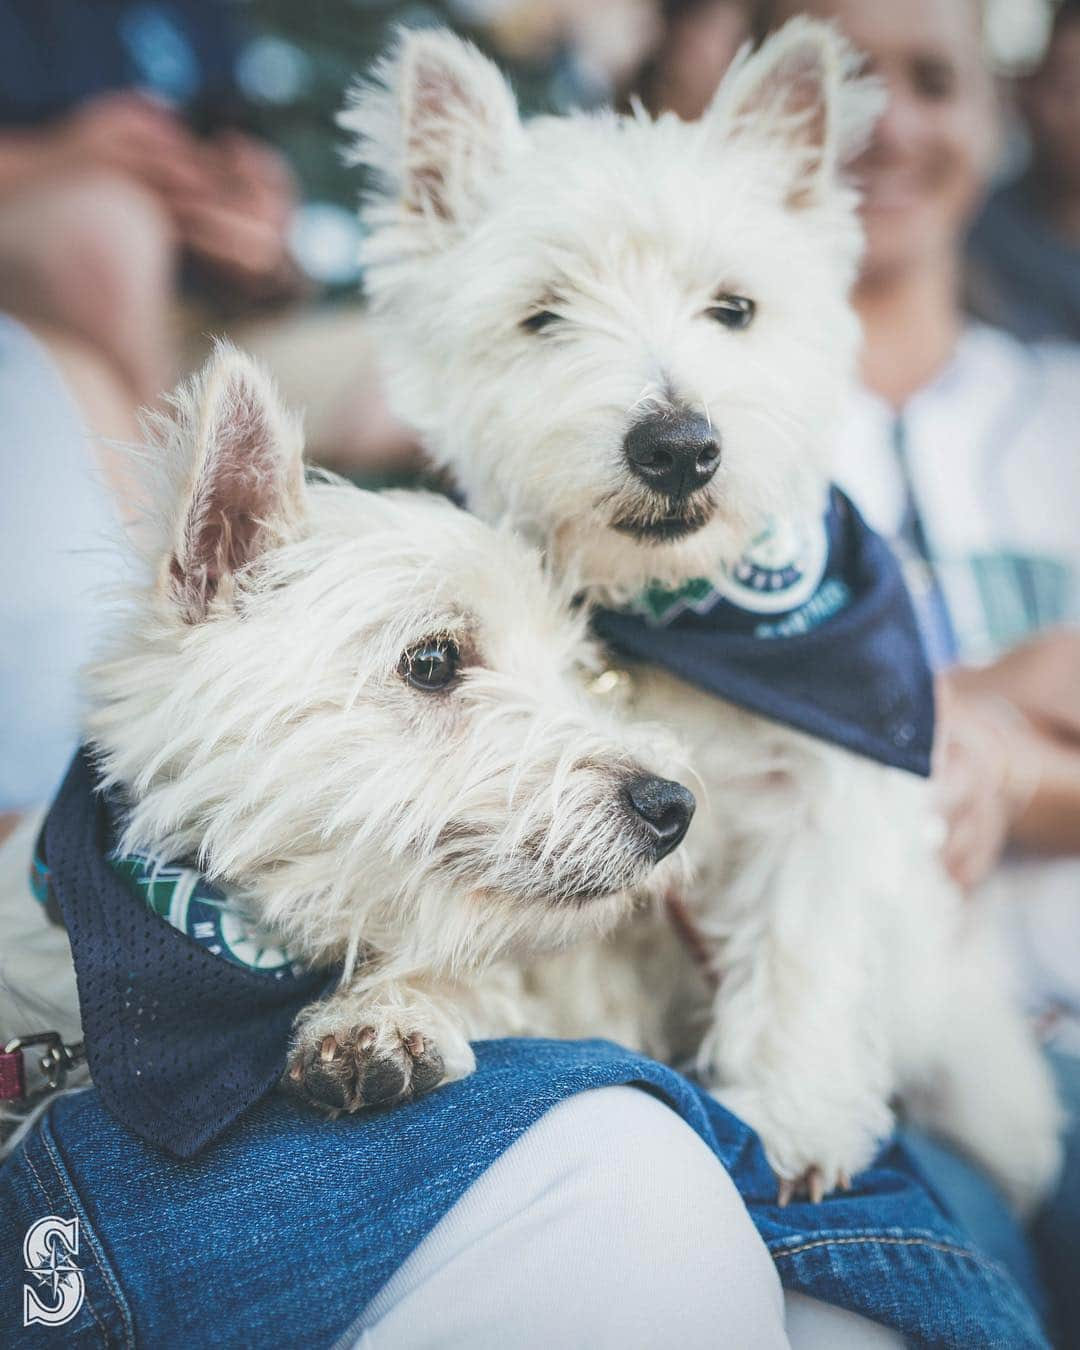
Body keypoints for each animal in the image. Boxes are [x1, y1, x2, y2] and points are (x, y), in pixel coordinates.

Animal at [345, 18, 1063, 1204]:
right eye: (543, 315)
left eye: (735, 308)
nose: (678, 445)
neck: (685, 619)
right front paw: (395, 1020)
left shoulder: (830, 793)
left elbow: (805, 949)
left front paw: (793, 1118)